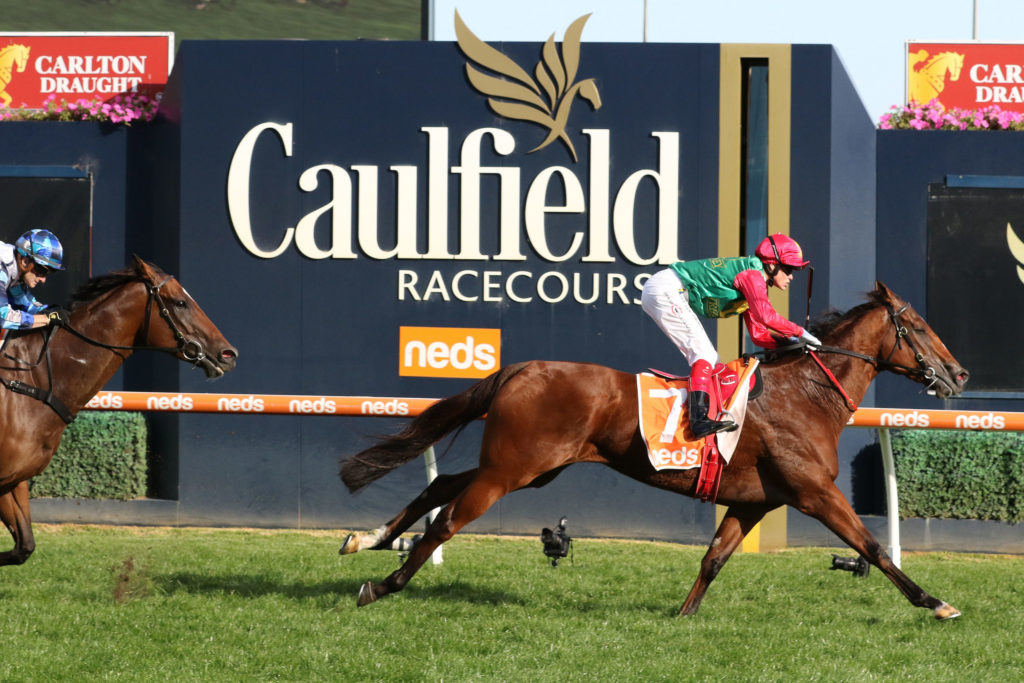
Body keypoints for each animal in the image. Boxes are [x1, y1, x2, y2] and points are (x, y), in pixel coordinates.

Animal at [339, 282, 970, 620]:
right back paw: (381, 584)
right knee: (448, 519)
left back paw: (368, 539)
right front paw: (936, 602)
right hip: (512, 468)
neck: (804, 395)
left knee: (441, 485)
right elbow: (874, 548)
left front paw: (684, 616)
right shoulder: (814, 493)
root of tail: (520, 367)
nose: (959, 373)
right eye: (917, 324)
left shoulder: (755, 502)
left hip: (531, 466)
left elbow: (713, 558)